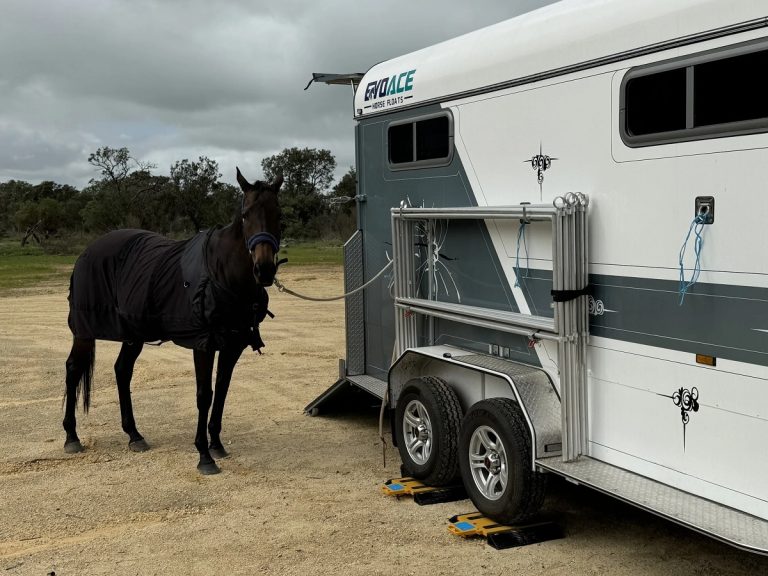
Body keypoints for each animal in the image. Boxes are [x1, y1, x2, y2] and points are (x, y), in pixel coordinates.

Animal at [62, 168, 282, 474]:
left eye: (279, 214)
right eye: (246, 214)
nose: (264, 270)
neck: (222, 274)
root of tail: (87, 251)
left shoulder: (232, 345)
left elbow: (222, 391)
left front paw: (216, 444)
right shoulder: (203, 344)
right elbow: (205, 394)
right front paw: (204, 455)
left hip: (133, 333)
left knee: (122, 370)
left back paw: (134, 435)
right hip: (84, 332)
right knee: (73, 370)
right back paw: (71, 436)